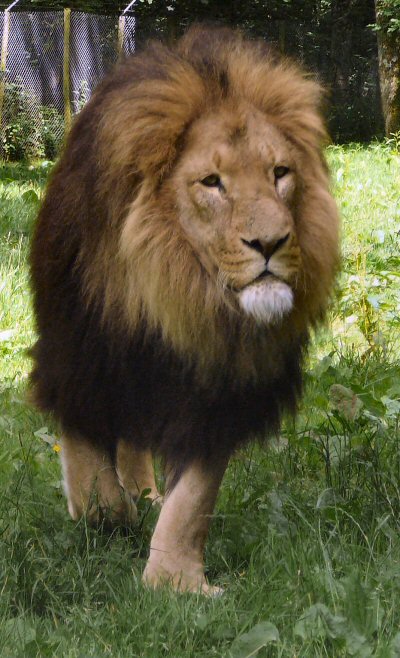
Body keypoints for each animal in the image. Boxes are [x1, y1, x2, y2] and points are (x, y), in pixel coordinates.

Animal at [30, 26, 339, 595]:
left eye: (280, 173)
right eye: (212, 182)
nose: (271, 242)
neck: (177, 296)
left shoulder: (219, 389)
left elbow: (194, 496)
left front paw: (176, 582)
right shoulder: (81, 349)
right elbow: (84, 445)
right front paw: (102, 512)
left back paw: (145, 494)